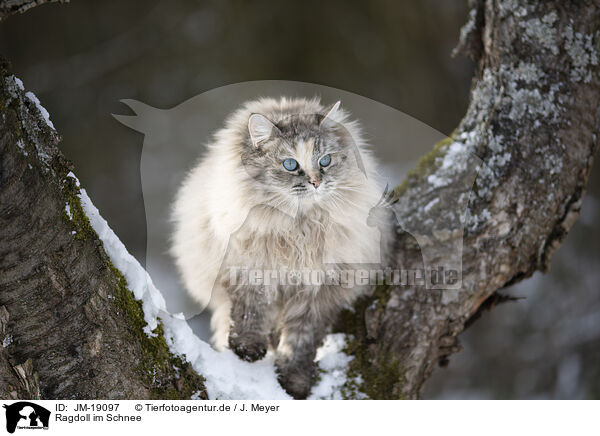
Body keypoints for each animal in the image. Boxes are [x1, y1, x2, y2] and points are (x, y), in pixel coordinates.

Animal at [171, 96, 392, 398]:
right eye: (289, 164)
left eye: (325, 161)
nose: (316, 182)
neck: (298, 230)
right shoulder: (251, 272)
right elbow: (250, 315)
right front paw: (247, 351)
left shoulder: (318, 292)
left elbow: (300, 342)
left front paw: (295, 383)